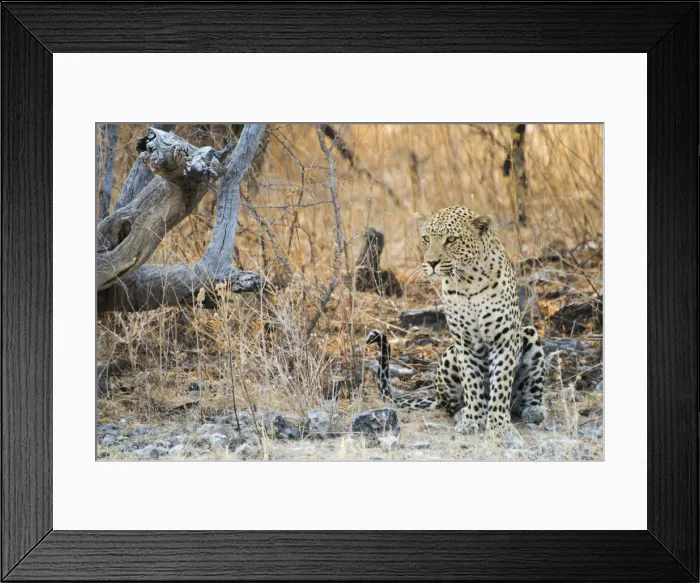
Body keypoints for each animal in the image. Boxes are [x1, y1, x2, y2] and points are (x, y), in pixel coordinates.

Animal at [366, 205, 547, 434]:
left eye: (451, 239)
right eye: (426, 238)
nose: (431, 262)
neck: (469, 280)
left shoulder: (503, 341)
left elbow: (501, 384)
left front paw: (498, 424)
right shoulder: (464, 343)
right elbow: (471, 384)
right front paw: (472, 420)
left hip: (529, 334)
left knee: (526, 396)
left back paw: (533, 410)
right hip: (450, 355)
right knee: (449, 405)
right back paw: (463, 413)